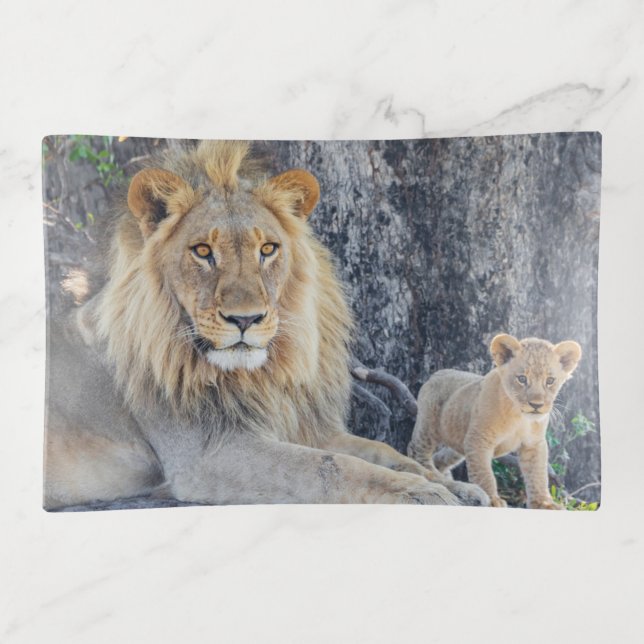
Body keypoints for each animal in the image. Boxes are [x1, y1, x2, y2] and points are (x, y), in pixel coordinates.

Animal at [44, 140, 489, 509]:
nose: (246, 319)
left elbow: (386, 453)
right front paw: (420, 493)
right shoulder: (208, 454)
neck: (260, 376)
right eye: (202, 251)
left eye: (268, 249)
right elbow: (331, 466)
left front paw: (454, 486)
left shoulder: (302, 427)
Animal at [407, 334, 582, 509]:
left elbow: (538, 475)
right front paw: (491, 500)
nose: (536, 405)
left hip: (458, 441)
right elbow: (484, 474)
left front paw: (544, 503)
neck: (519, 416)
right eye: (522, 379)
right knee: (416, 450)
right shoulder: (478, 440)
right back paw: (432, 474)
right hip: (429, 426)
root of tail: (437, 373)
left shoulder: (534, 444)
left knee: (440, 458)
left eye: (550, 380)